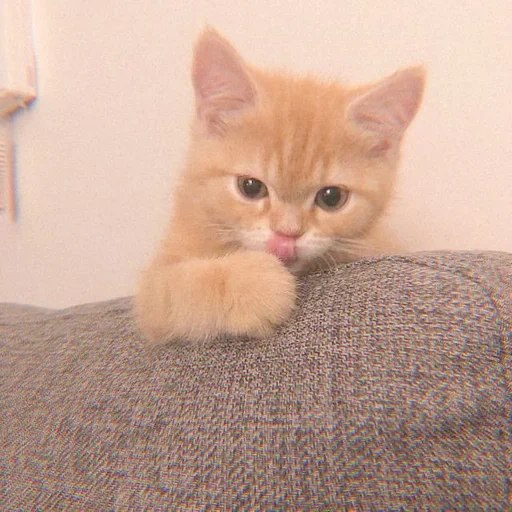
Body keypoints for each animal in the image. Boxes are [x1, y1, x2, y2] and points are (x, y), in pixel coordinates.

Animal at [134, 28, 426, 344]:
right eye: (250, 187)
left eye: (332, 198)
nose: (287, 235)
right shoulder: (153, 293)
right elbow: (180, 287)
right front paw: (255, 285)